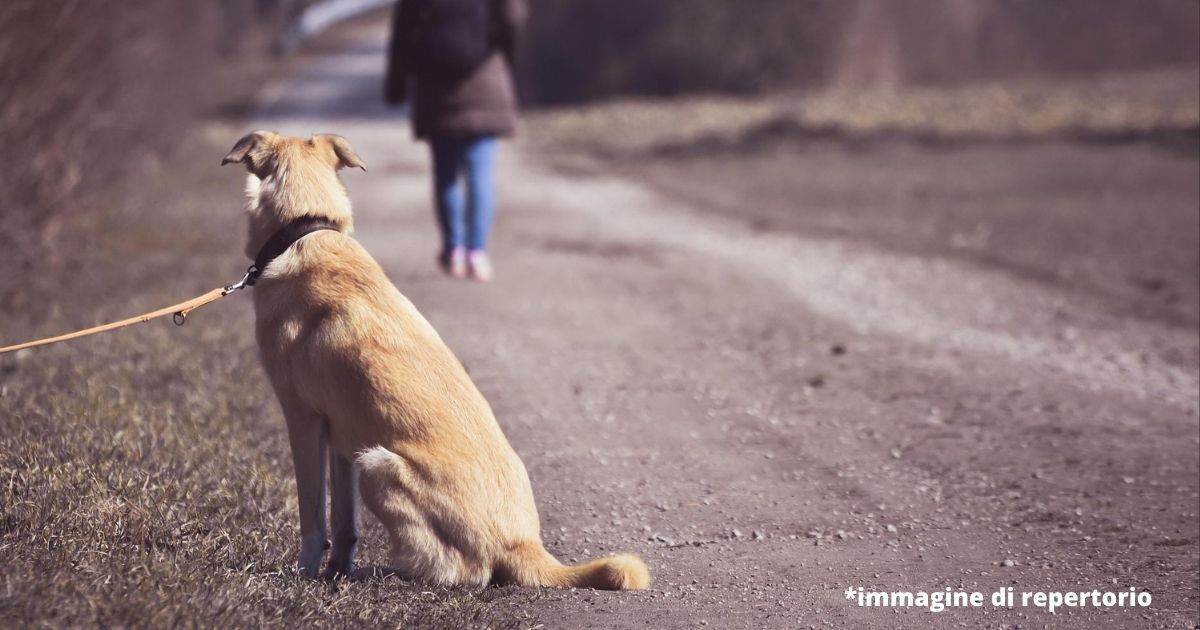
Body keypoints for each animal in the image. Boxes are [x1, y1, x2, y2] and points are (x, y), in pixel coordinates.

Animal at [224, 129, 652, 590]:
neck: (305, 229)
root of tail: (523, 545)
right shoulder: (341, 435)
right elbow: (344, 523)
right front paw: (336, 569)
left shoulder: (302, 420)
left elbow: (312, 517)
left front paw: (305, 572)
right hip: (365, 454)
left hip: (378, 466)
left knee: (462, 570)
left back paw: (393, 570)